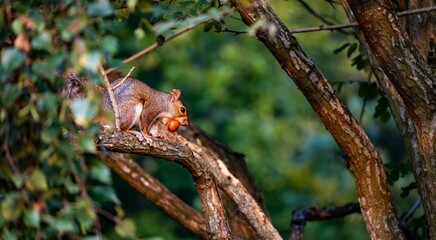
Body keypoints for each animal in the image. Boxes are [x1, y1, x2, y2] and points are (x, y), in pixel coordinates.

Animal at [61, 70, 189, 143]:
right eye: (182, 109)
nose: (186, 123)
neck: (164, 103)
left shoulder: (156, 119)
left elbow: (154, 128)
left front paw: (156, 135)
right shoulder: (151, 109)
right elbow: (145, 124)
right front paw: (146, 136)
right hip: (130, 108)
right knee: (122, 129)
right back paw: (134, 132)